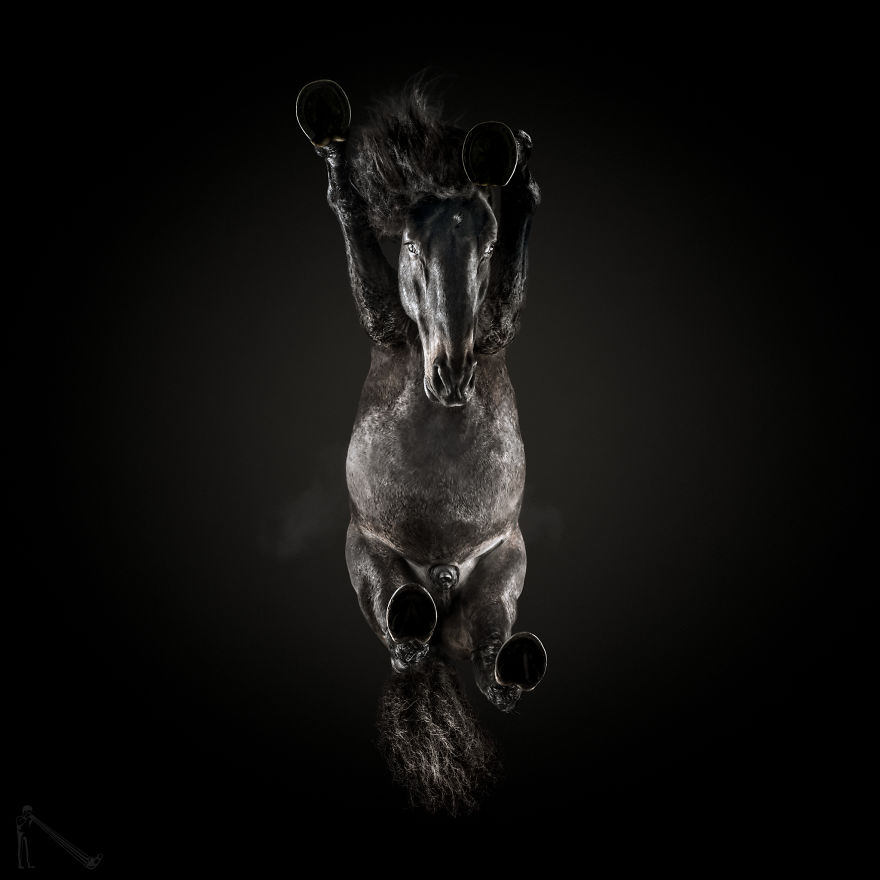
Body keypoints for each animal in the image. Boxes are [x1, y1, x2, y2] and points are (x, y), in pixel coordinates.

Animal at [296, 76, 547, 813]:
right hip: (371, 565)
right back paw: (412, 619)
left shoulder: (496, 327)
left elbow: (508, 294)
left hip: (499, 577)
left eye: (485, 251)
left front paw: (523, 180)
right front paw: (334, 155)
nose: (453, 375)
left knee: (491, 667)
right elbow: (354, 231)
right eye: (411, 248)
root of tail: (438, 581)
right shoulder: (385, 325)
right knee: (405, 643)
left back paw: (514, 663)